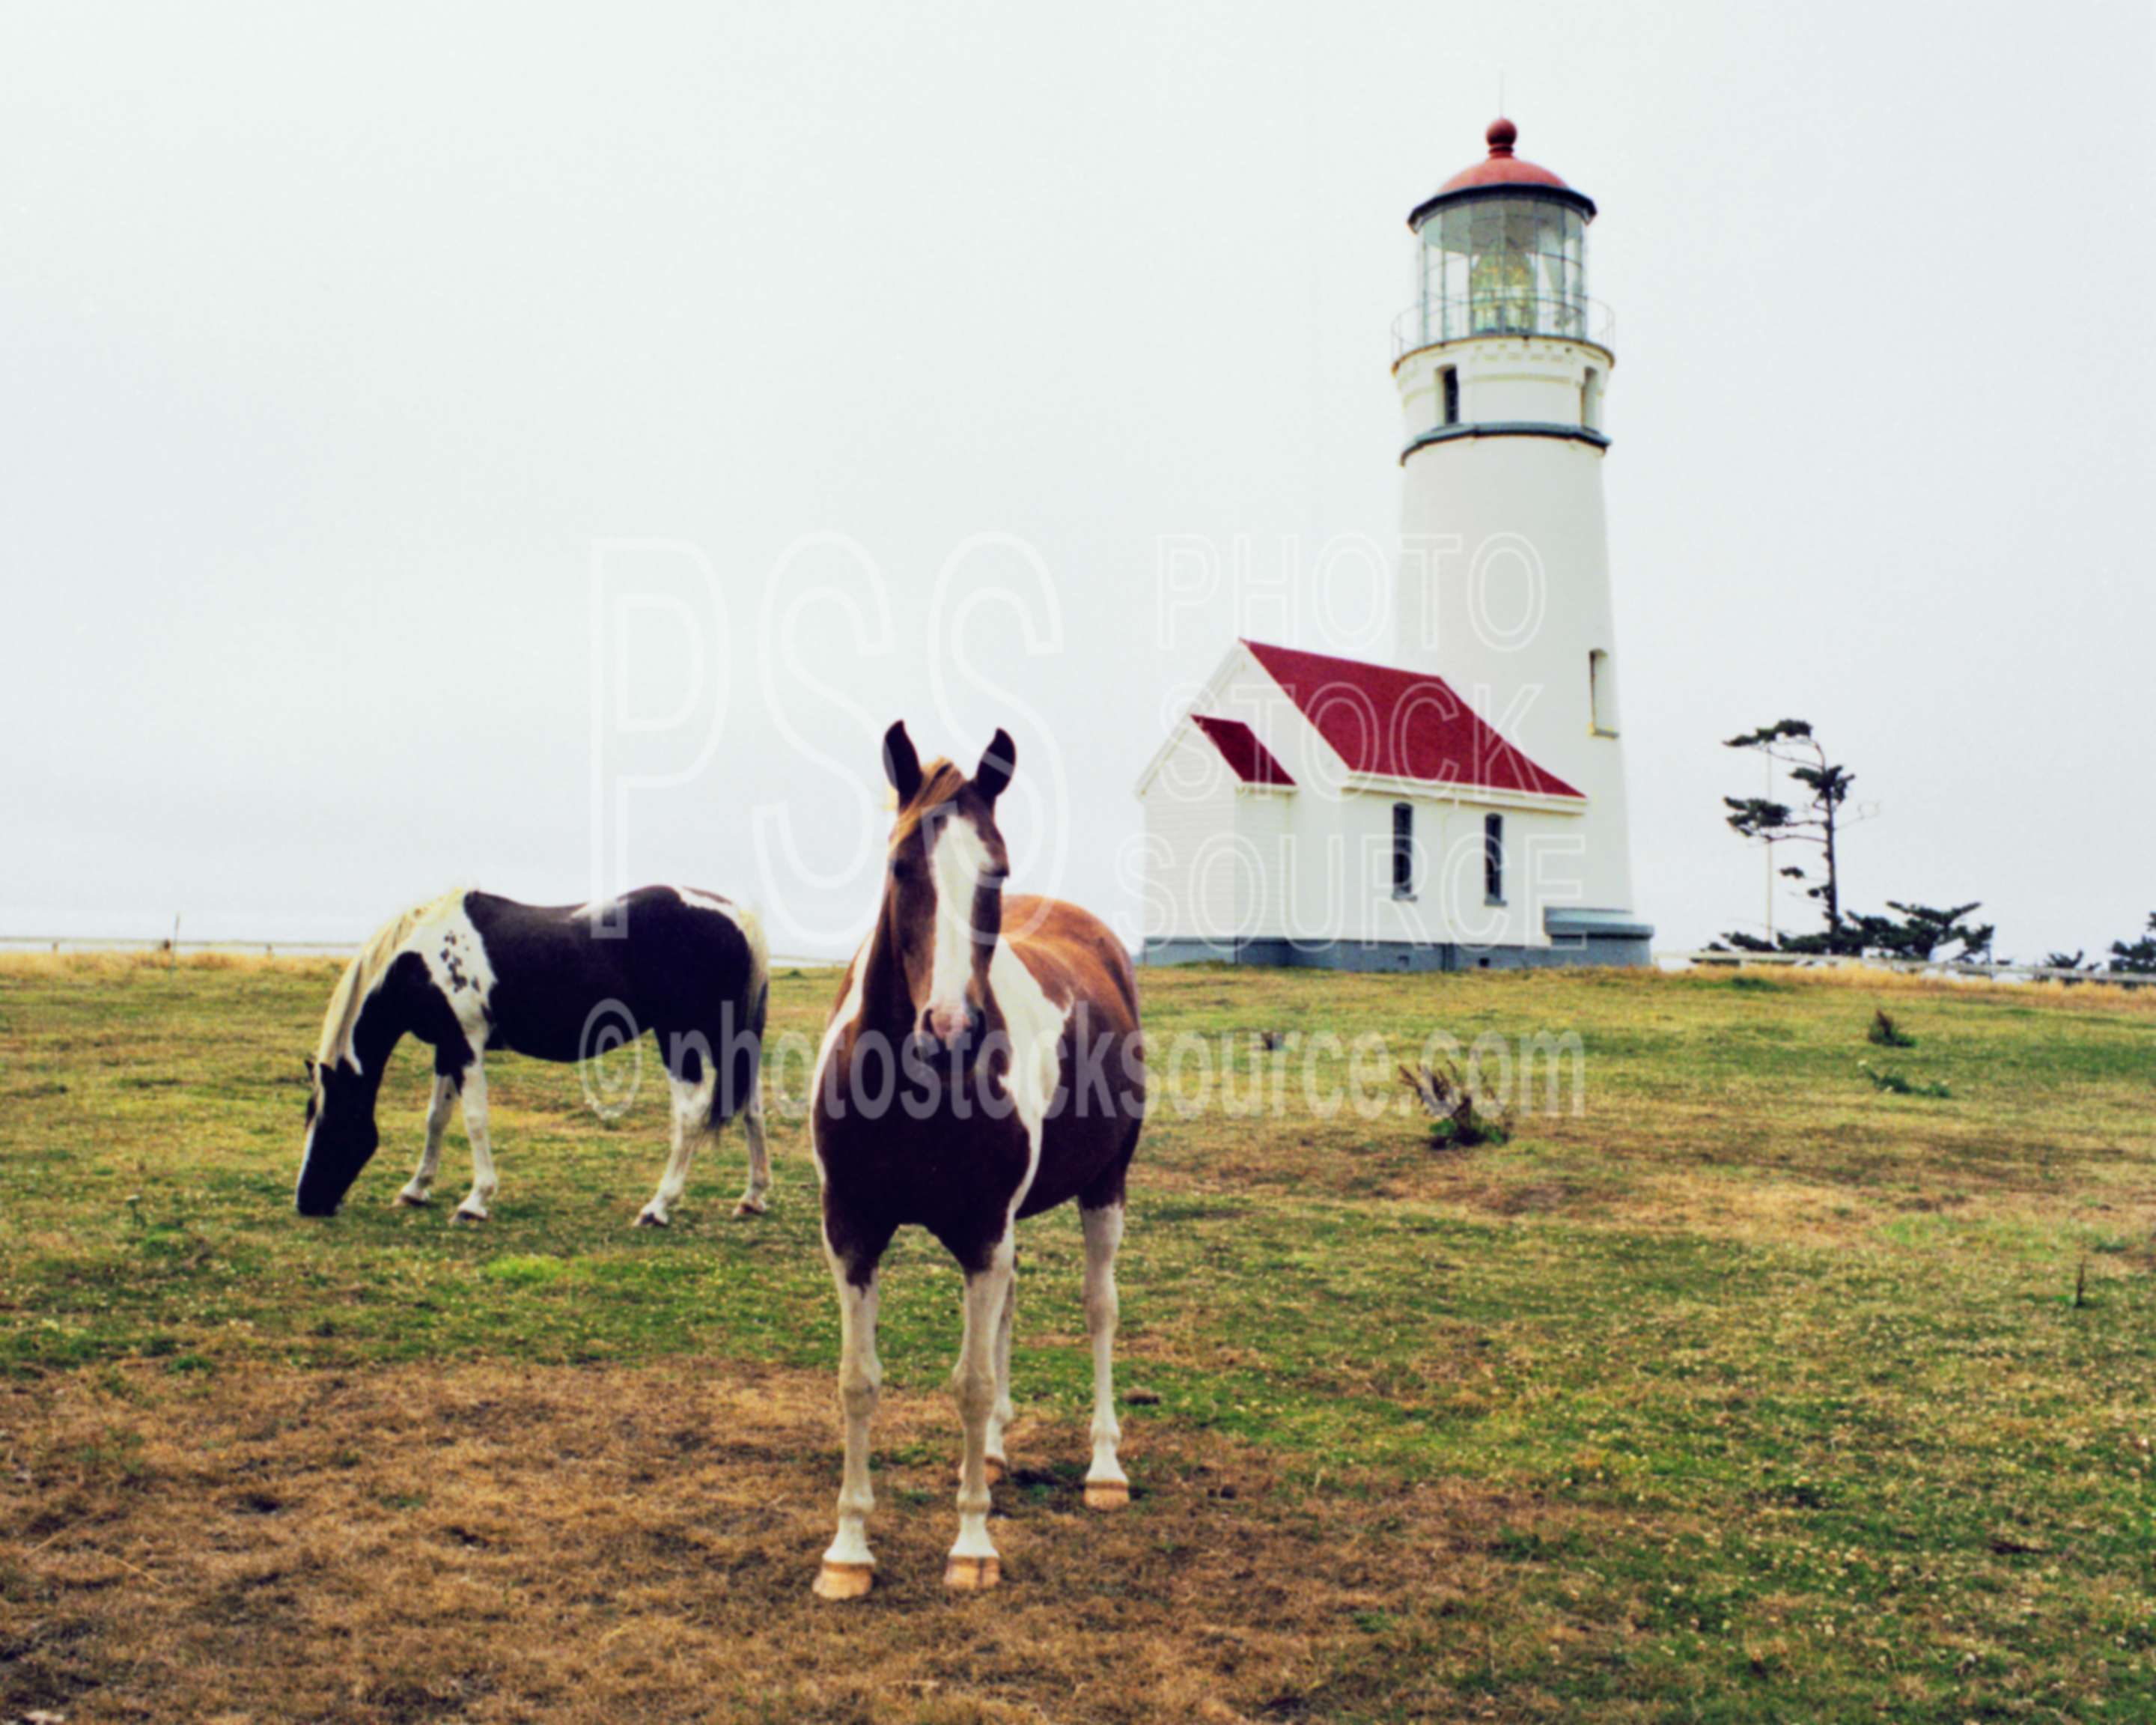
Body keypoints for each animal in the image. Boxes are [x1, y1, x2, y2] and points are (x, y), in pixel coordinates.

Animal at [299, 888, 772, 1224]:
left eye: (331, 1122)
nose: (306, 1202)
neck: (426, 957)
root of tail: (737, 917)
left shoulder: (466, 1045)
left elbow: (474, 1120)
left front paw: (475, 1200)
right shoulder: (447, 1047)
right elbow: (437, 1117)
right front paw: (416, 1189)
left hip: (679, 1037)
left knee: (690, 1115)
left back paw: (657, 1207)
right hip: (726, 1038)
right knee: (752, 1108)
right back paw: (752, 1198)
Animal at [810, 719, 1147, 1595]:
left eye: (995, 867)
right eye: (902, 865)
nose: (951, 1030)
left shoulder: (983, 1231)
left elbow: (969, 1383)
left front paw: (970, 1546)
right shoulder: (852, 1230)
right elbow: (858, 1381)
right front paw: (848, 1551)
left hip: (1106, 1188)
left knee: (1101, 1310)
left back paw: (1104, 1469)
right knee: (1010, 1308)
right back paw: (992, 1455)